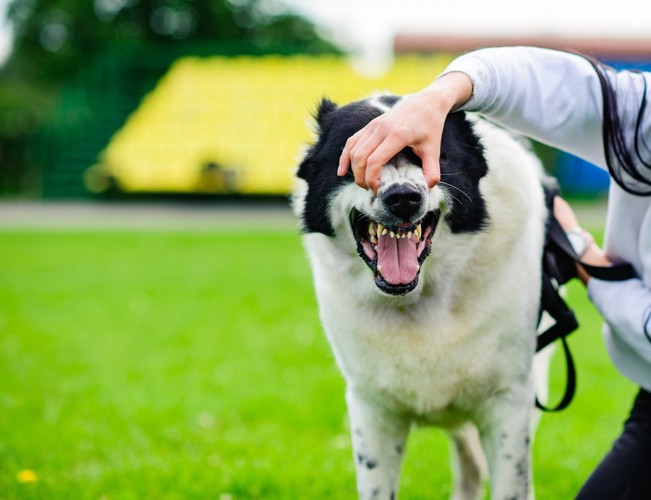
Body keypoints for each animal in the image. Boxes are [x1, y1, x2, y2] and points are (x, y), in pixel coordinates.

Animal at [292, 94, 552, 500]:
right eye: (356, 157)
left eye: (433, 155)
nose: (403, 198)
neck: (420, 301)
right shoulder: (372, 410)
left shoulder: (509, 403)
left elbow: (511, 484)